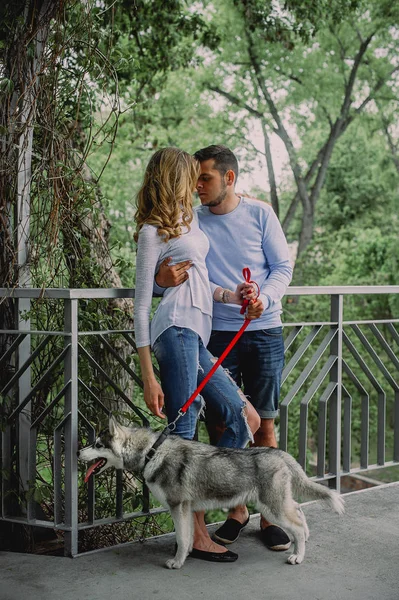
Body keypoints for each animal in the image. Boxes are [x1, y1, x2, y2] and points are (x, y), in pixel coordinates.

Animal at [79, 414, 346, 568]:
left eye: (98, 445)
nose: (78, 452)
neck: (152, 452)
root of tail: (280, 453)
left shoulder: (177, 508)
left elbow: (181, 538)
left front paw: (176, 563)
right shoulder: (185, 509)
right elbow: (186, 539)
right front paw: (185, 556)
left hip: (273, 508)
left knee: (297, 525)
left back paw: (298, 556)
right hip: (277, 504)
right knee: (299, 511)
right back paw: (302, 541)